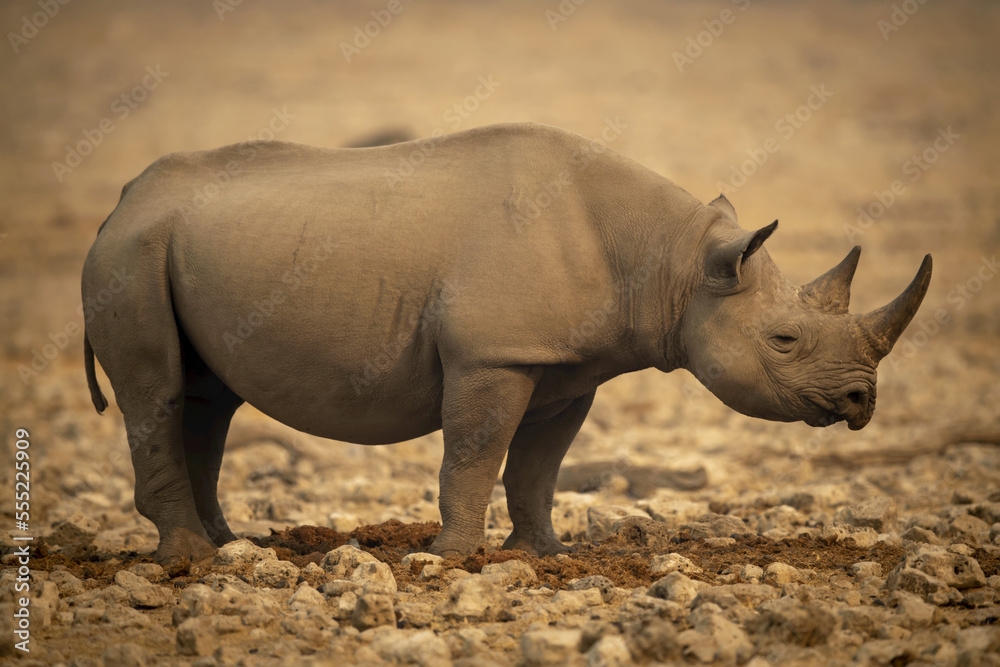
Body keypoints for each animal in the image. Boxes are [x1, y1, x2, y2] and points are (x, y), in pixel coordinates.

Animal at [82, 123, 932, 564]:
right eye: (784, 339)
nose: (861, 399)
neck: (677, 261)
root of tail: (121, 200)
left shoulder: (566, 364)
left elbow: (538, 464)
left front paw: (541, 552)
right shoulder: (492, 352)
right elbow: (476, 453)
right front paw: (455, 556)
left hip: (175, 246)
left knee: (208, 397)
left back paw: (229, 545)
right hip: (131, 253)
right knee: (157, 392)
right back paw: (189, 558)